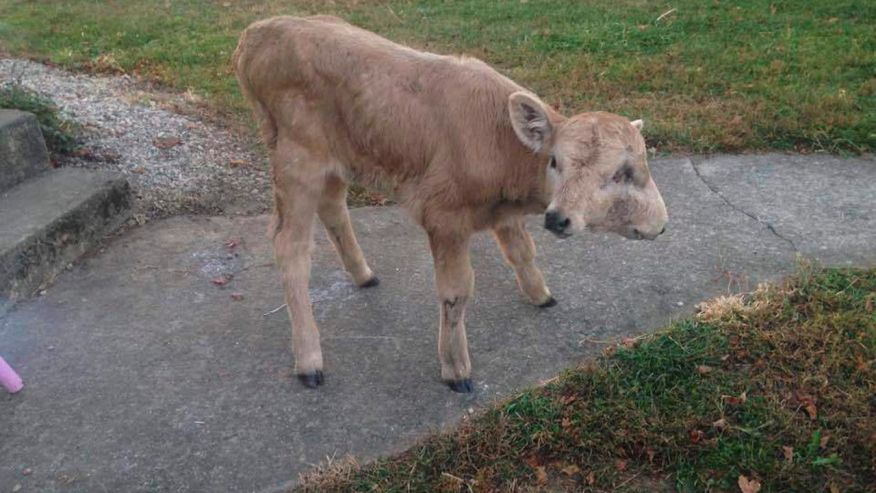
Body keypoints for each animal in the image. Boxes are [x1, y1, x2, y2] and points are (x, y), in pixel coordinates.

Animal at [233, 15, 668, 393]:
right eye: (555, 162)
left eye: (629, 170)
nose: (559, 219)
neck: (500, 146)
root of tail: (260, 31)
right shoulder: (444, 216)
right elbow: (456, 292)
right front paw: (455, 367)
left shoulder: (502, 214)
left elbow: (521, 251)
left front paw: (540, 294)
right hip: (296, 159)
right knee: (290, 247)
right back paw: (309, 359)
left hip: (338, 156)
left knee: (333, 207)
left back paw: (363, 274)